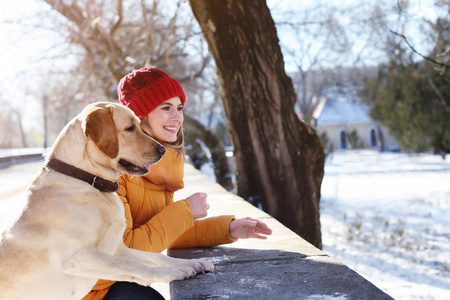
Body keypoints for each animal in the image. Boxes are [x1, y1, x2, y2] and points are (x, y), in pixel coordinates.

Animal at [0, 102, 214, 298]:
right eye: (129, 128)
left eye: (139, 125)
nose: (162, 150)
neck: (88, 180)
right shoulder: (79, 256)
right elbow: (136, 266)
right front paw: (174, 271)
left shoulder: (117, 248)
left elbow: (151, 258)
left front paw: (191, 262)